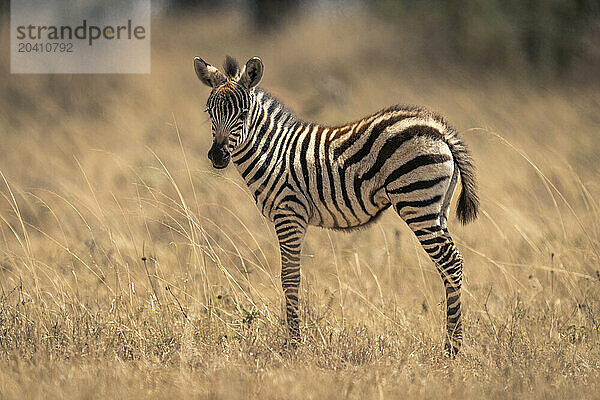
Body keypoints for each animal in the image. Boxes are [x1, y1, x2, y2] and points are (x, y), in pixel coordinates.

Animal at [192, 54, 478, 354]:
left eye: (243, 114)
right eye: (209, 112)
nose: (218, 155)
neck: (272, 151)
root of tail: (439, 129)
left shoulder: (288, 213)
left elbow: (290, 277)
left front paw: (294, 344)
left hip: (416, 200)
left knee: (450, 261)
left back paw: (453, 347)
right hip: (437, 207)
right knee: (450, 264)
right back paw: (452, 341)